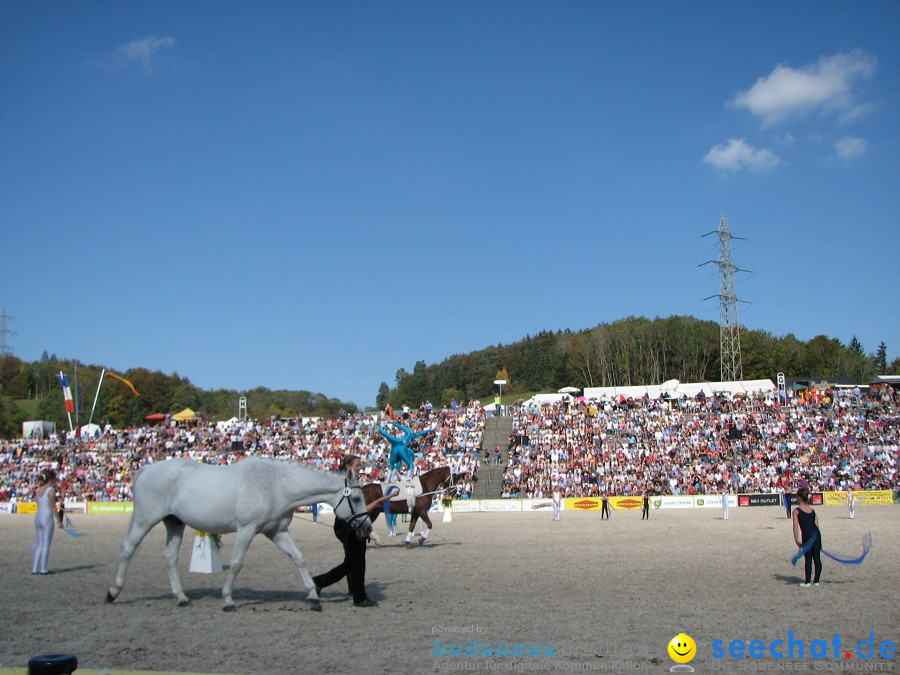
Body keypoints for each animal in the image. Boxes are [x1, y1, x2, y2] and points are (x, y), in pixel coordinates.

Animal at [106, 460, 372, 612]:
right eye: (357, 498)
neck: (275, 485)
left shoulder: (276, 531)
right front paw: (228, 600)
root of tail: (145, 469)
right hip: (145, 518)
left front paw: (313, 597)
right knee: (127, 549)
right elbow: (236, 563)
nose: (367, 528)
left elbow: (299, 558)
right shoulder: (247, 528)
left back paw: (181, 598)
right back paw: (113, 592)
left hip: (174, 523)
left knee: (169, 557)